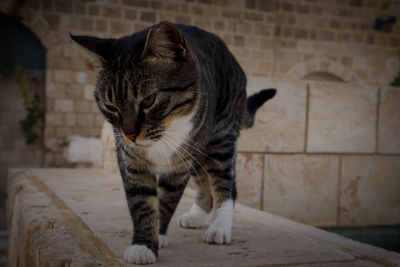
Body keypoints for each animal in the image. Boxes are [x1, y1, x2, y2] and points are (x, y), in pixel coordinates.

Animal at [71, 22, 276, 264]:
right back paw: (196, 216)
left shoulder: (180, 164)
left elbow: (167, 199)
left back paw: (219, 227)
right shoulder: (132, 161)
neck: (162, 136)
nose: (129, 134)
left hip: (219, 138)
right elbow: (142, 203)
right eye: (111, 107)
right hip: (199, 152)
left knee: (225, 182)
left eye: (148, 101)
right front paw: (143, 245)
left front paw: (158, 235)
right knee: (204, 181)